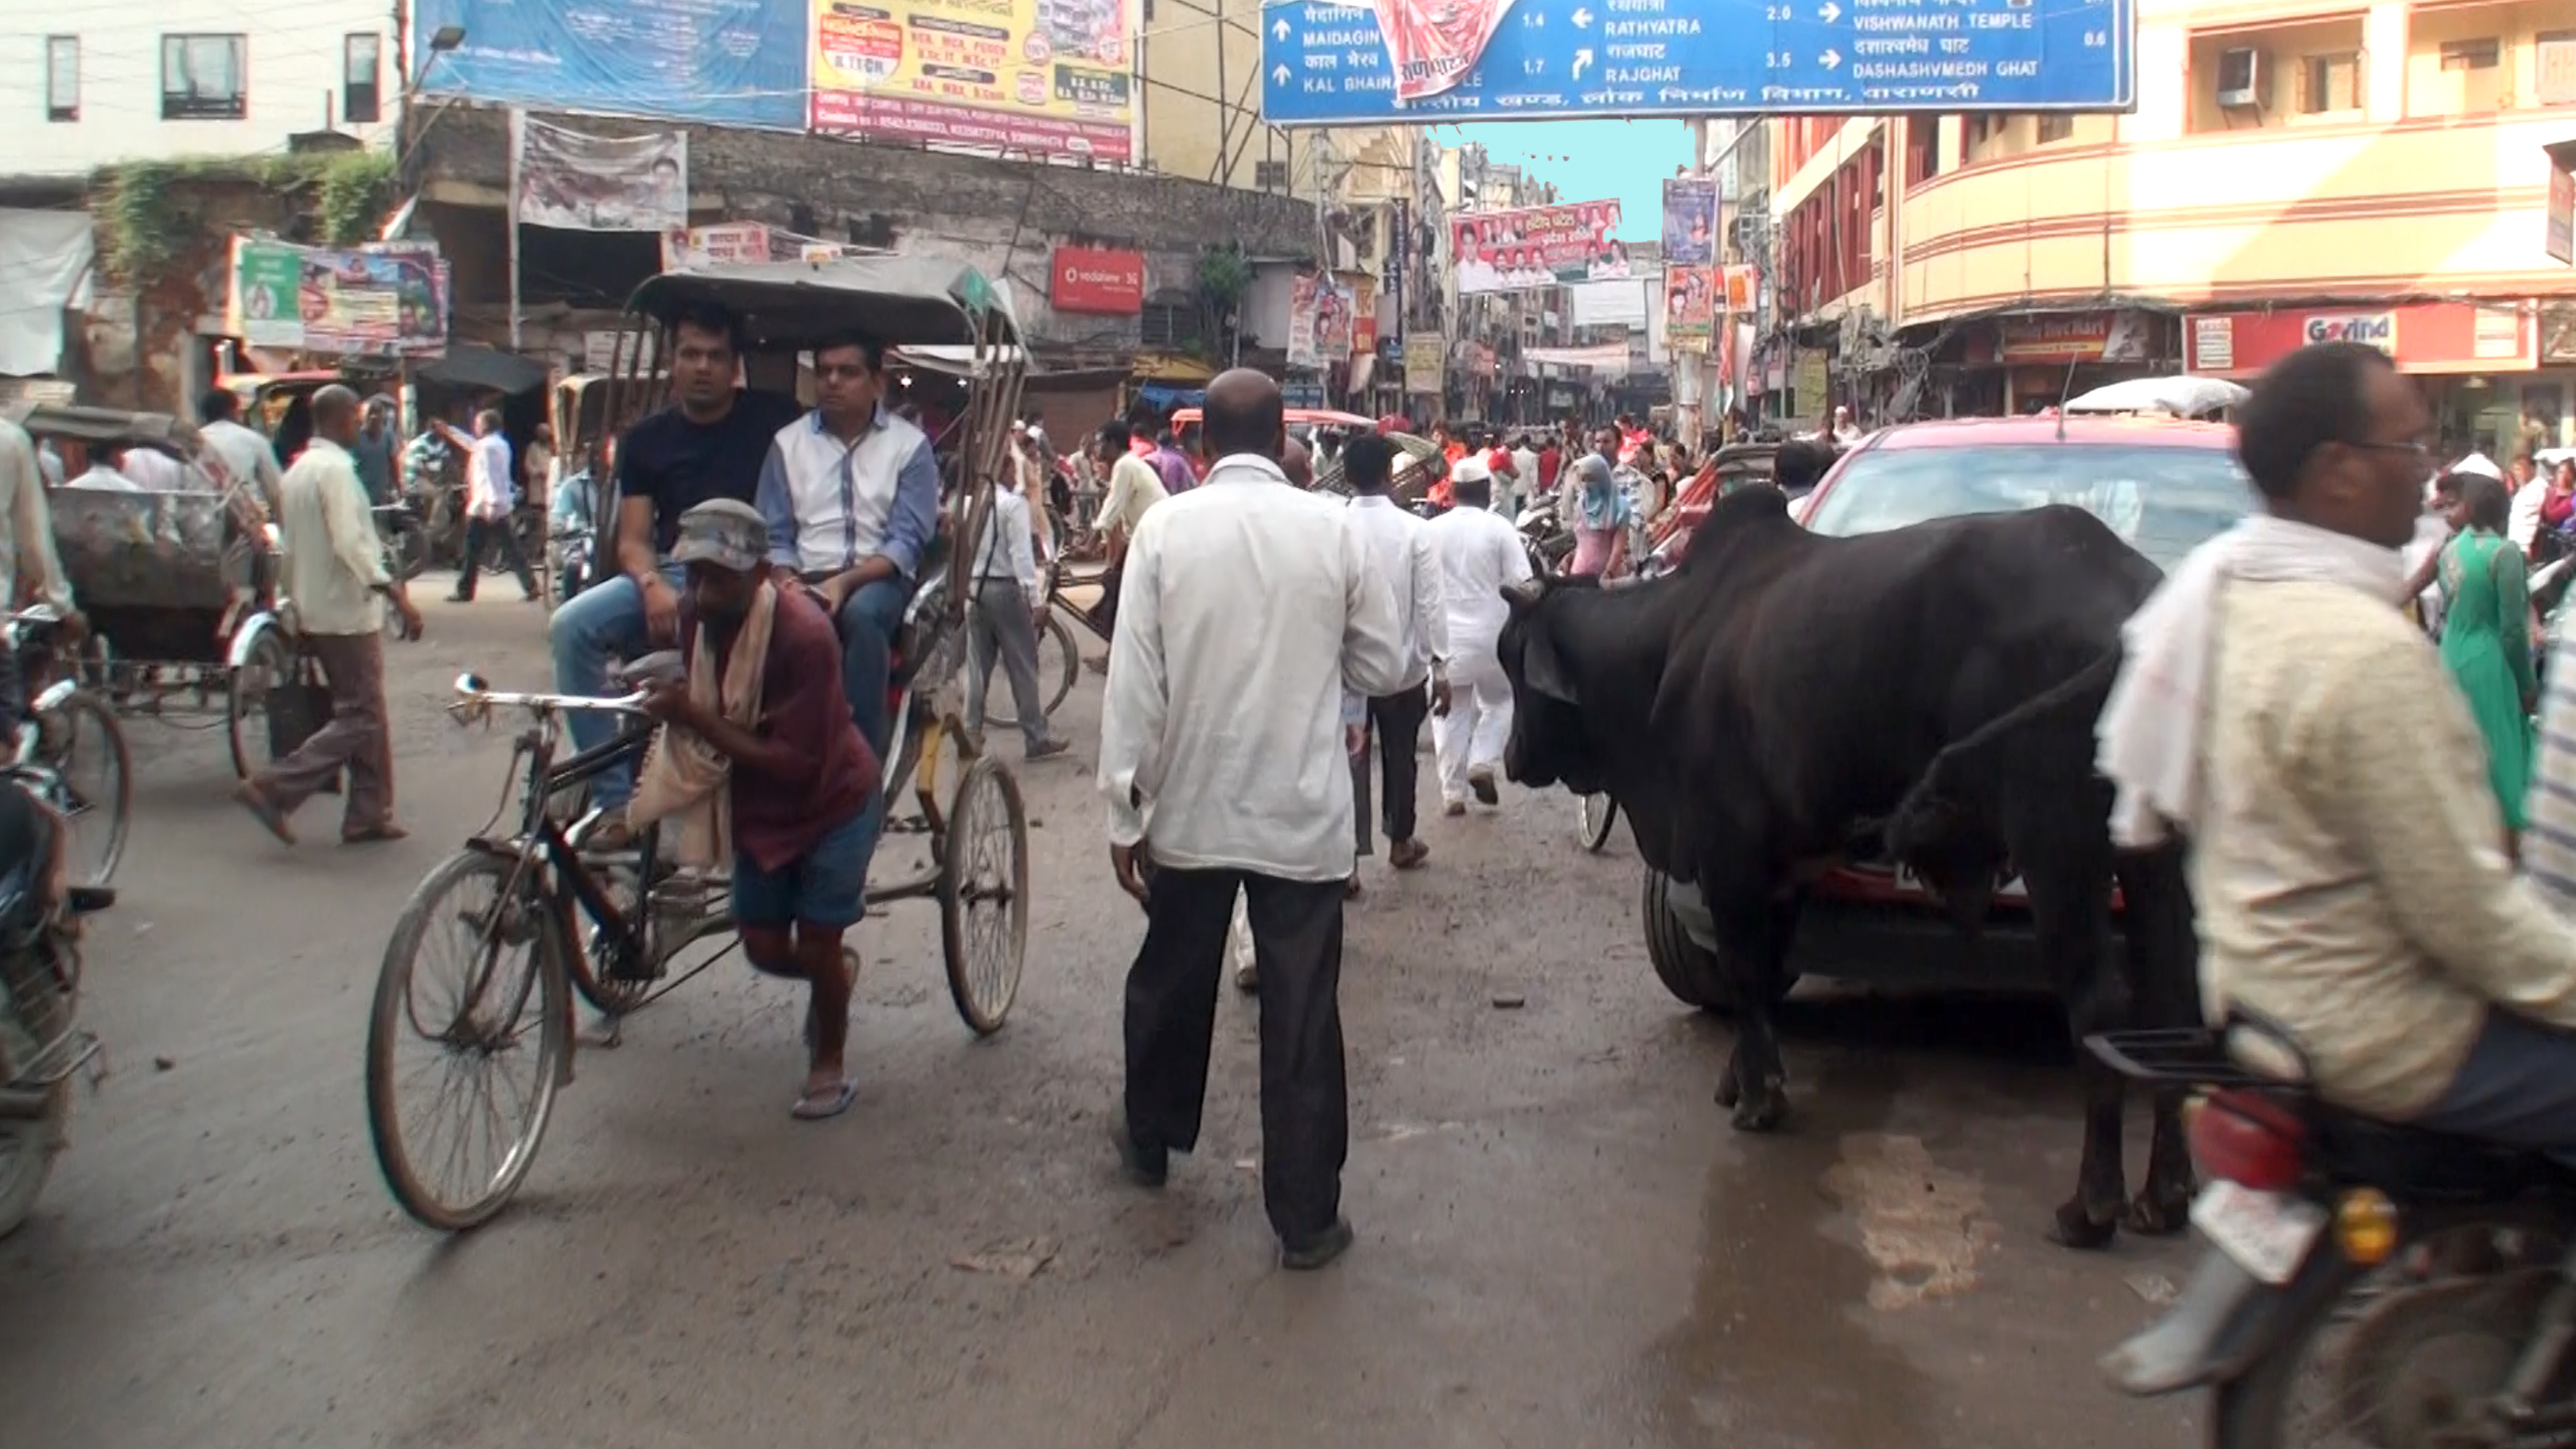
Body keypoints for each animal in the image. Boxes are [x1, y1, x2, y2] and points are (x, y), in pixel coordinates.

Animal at [1504, 485, 2204, 1242]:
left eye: (1511, 662)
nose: (1511, 758)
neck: (1666, 645)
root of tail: (2136, 597)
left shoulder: (1729, 852)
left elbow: (1745, 967)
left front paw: (1760, 1099)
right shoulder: (1785, 865)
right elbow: (1763, 970)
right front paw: (1741, 1077)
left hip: (2057, 837)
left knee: (2099, 1001)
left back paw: (2091, 1205)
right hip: (2155, 850)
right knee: (2171, 998)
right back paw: (2164, 1194)